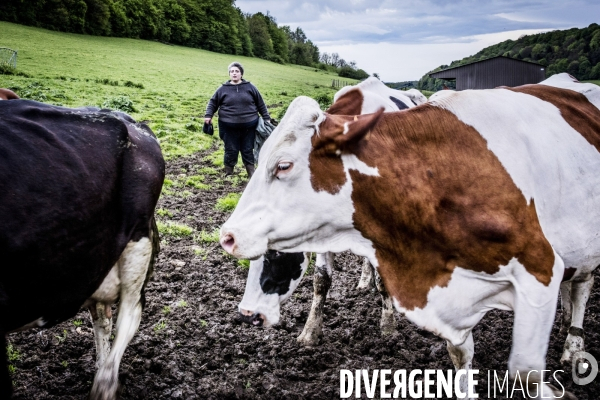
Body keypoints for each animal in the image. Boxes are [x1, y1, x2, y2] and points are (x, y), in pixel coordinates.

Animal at [0, 98, 164, 398]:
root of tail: (134, 123)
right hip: (96, 262)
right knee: (102, 319)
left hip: (137, 239)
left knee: (129, 313)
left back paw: (105, 384)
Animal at [224, 74, 600, 396]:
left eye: (283, 166)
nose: (247, 313)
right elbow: (322, 281)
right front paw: (309, 332)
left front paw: (388, 327)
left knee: (582, 285)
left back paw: (573, 346)